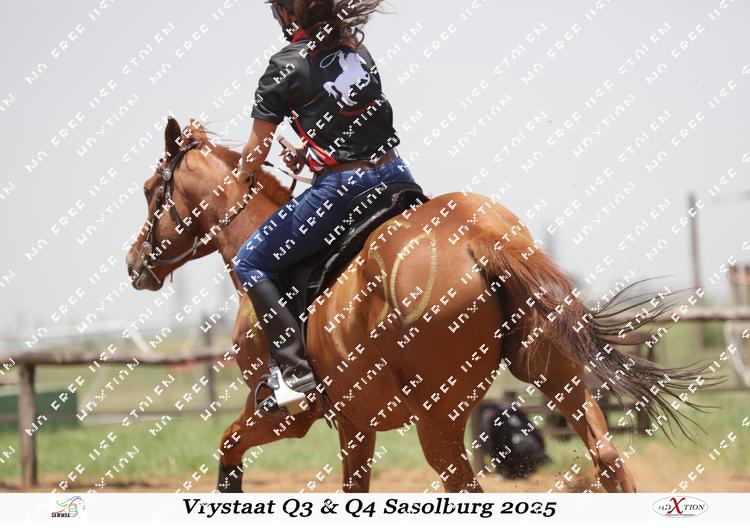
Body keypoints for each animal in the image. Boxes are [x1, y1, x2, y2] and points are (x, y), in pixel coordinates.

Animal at [126, 117, 706, 493]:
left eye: (153, 189)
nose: (134, 262)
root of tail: (477, 236)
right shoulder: (355, 423)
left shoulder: (283, 415)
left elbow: (228, 446)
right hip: (555, 372)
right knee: (607, 459)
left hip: (439, 422)